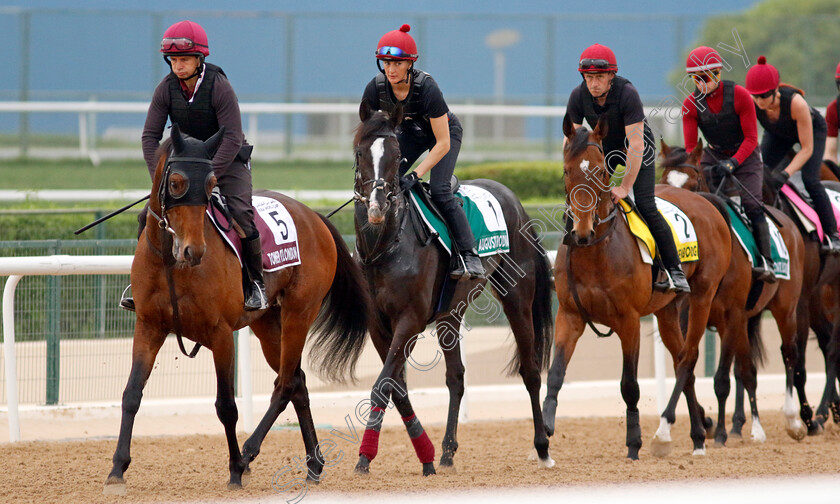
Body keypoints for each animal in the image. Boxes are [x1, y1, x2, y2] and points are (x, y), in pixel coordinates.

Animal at [102, 124, 370, 494]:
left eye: (212, 184)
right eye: (176, 183)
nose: (194, 251)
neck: (172, 262)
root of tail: (314, 215)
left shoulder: (220, 335)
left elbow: (226, 406)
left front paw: (234, 470)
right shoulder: (148, 326)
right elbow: (131, 394)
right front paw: (117, 468)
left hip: (299, 313)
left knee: (284, 385)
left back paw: (247, 453)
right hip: (267, 324)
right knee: (297, 380)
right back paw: (313, 464)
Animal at [352, 100, 556, 474]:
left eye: (397, 155)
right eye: (361, 152)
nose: (376, 205)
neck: (384, 246)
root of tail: (514, 200)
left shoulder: (410, 321)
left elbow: (383, 386)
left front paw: (366, 456)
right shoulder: (378, 325)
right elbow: (395, 386)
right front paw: (424, 454)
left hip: (516, 297)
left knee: (531, 371)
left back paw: (542, 447)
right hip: (450, 314)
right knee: (456, 377)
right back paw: (447, 451)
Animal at [540, 115, 732, 460]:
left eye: (601, 172)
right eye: (566, 171)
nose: (582, 232)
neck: (596, 251)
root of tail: (705, 202)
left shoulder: (628, 321)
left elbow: (629, 385)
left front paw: (633, 442)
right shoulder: (570, 315)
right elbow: (556, 373)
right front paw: (546, 427)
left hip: (702, 296)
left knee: (689, 357)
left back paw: (666, 433)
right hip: (667, 310)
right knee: (682, 359)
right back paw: (698, 435)